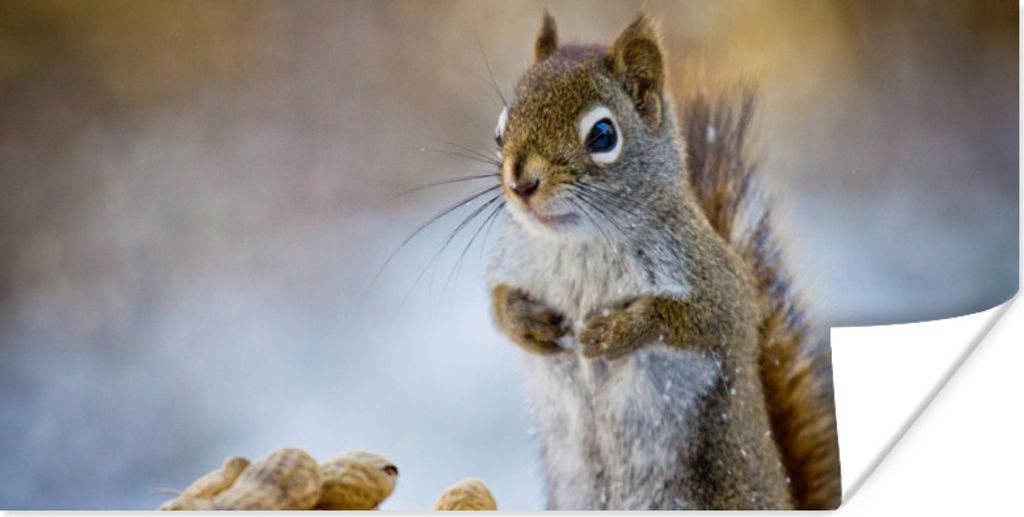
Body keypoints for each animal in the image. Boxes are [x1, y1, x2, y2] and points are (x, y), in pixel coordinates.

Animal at [486, 12, 841, 510]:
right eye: (499, 132)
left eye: (603, 136)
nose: (521, 184)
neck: (579, 244)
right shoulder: (513, 261)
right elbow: (497, 299)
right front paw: (526, 322)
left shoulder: (717, 283)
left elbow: (704, 320)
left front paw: (617, 331)